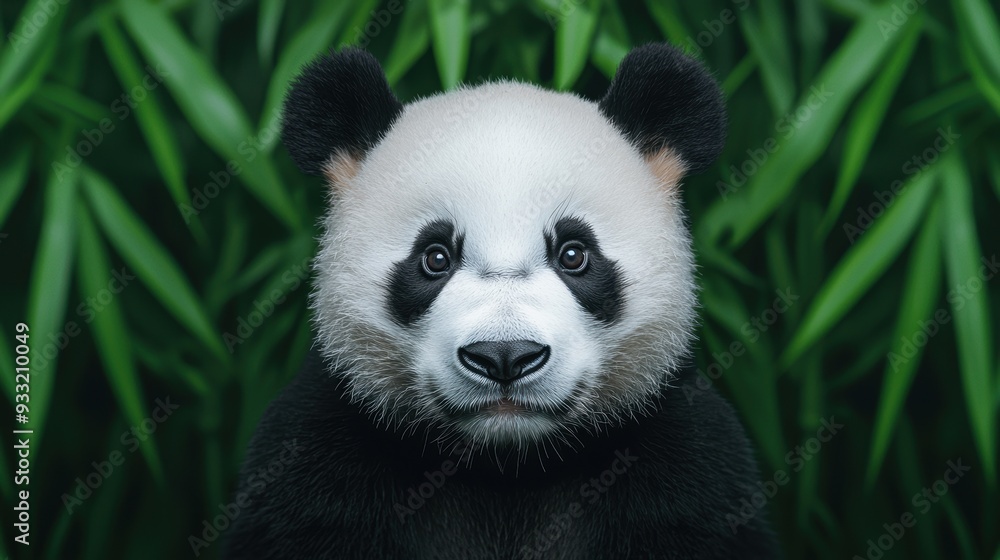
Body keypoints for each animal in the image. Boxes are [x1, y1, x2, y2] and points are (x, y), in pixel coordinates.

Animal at [224, 43, 779, 559]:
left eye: (574, 254)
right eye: (435, 257)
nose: (505, 357)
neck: (506, 465)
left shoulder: (684, 466)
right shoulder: (318, 464)